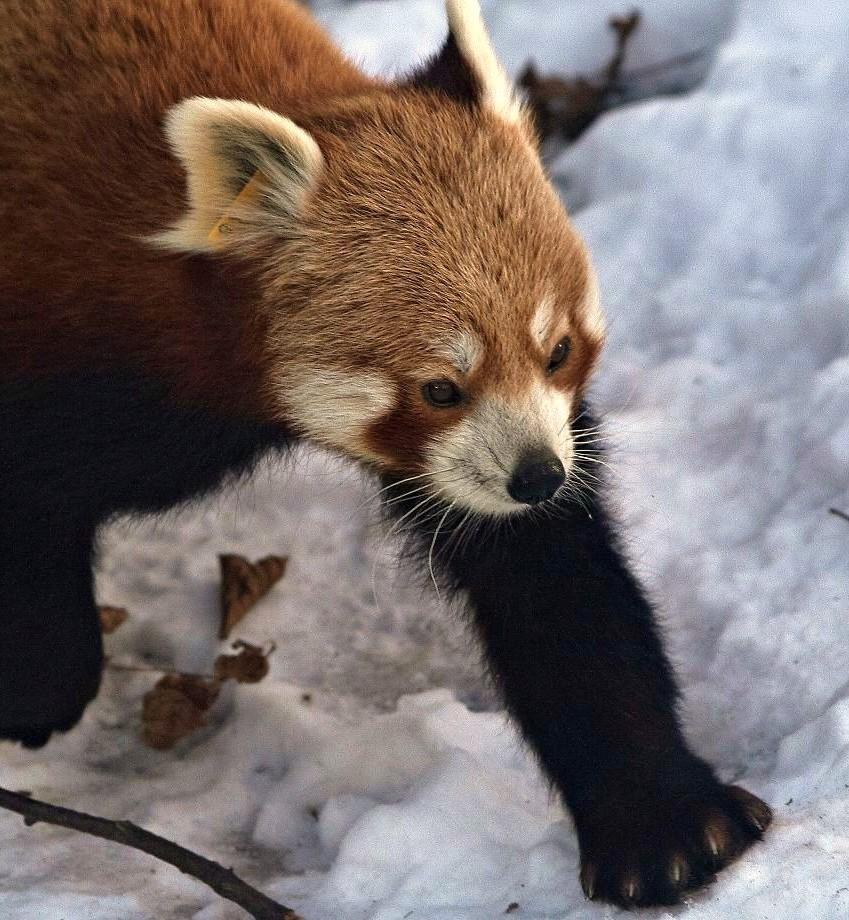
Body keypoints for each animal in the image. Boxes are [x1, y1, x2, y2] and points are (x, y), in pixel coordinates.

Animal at [0, 0, 768, 904]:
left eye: (557, 351)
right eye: (440, 388)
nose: (536, 477)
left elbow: (558, 588)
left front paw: (661, 824)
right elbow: (32, 502)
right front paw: (39, 684)